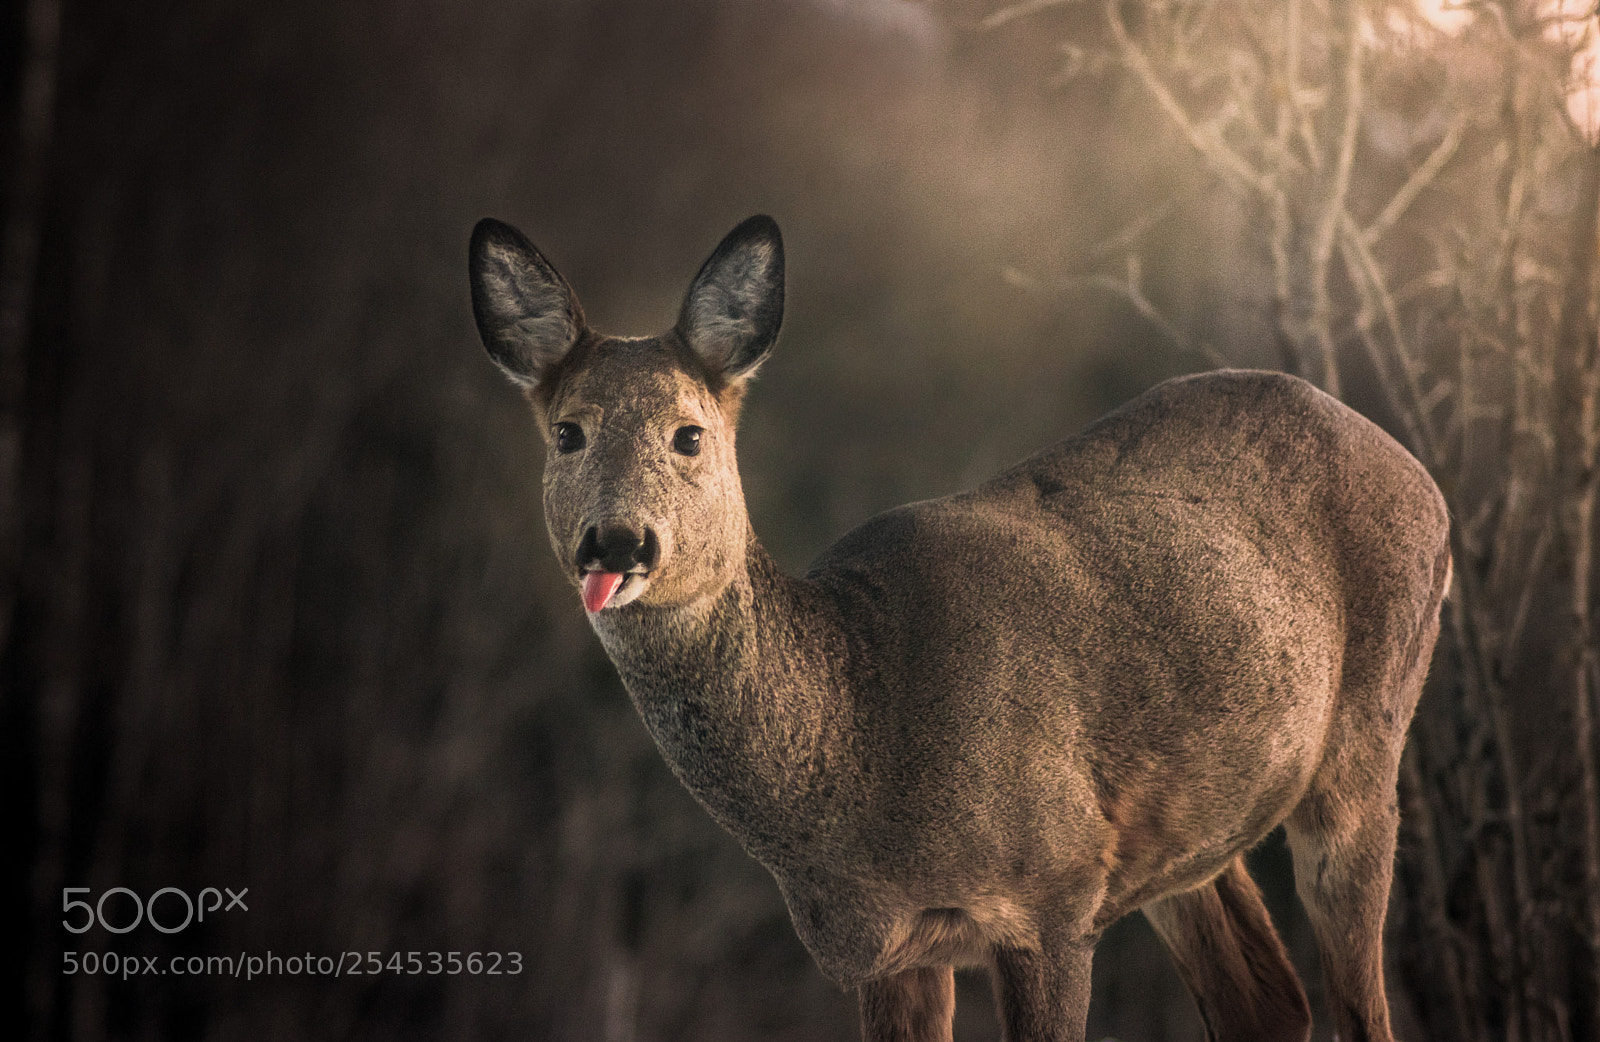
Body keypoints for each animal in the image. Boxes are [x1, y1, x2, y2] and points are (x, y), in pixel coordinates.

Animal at [468, 213, 1451, 1042]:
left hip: (1367, 743)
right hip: (1191, 830)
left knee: (1359, 1004)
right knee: (1268, 1002)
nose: (616, 541)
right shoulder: (886, 952)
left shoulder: (1054, 894)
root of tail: (1418, 471)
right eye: (567, 432)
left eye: (689, 434)